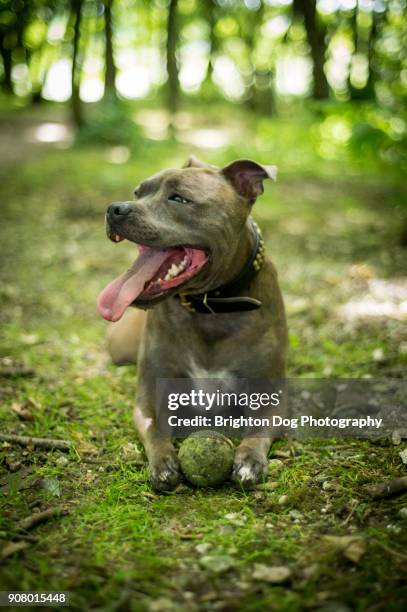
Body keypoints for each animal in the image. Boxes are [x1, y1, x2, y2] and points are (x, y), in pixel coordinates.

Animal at [97, 157, 288, 492]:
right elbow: (155, 427)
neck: (210, 308)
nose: (115, 208)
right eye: (138, 191)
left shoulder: (272, 396)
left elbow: (259, 428)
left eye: (179, 199)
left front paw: (250, 459)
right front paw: (163, 463)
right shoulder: (149, 396)